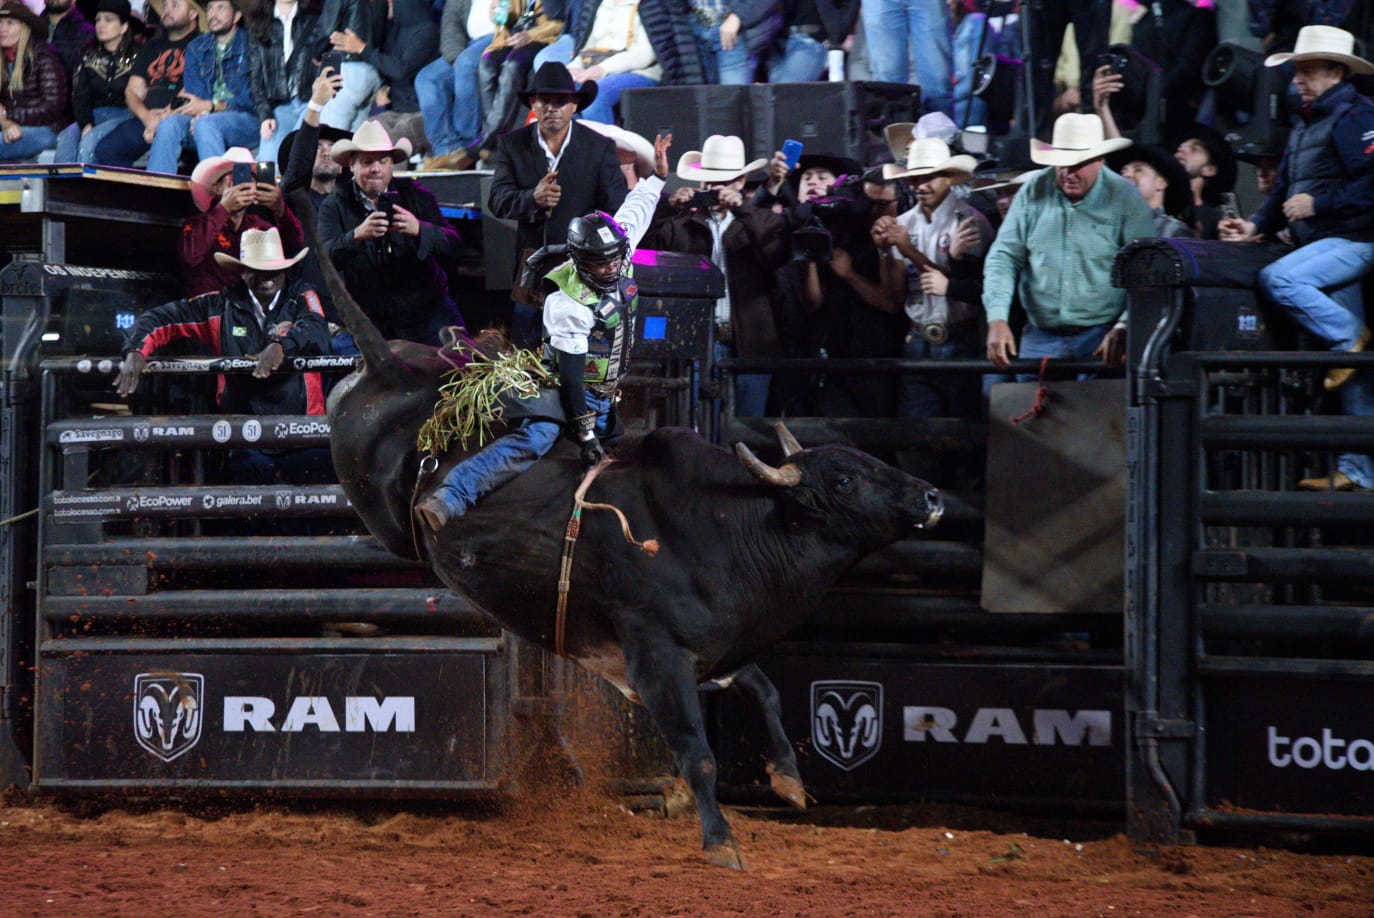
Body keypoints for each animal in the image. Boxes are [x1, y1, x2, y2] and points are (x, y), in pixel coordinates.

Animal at [298, 193, 945, 868]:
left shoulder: (716, 650)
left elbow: (764, 691)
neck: (732, 527)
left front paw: (789, 781)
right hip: (376, 493)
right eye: (843, 479)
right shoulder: (656, 656)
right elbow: (698, 754)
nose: (930, 496)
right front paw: (721, 843)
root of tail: (392, 369)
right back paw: (436, 499)